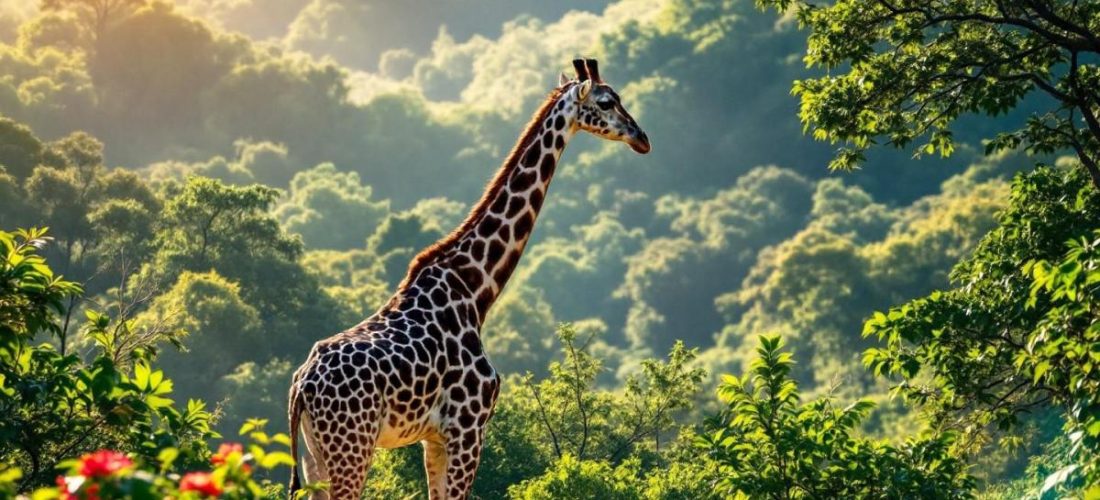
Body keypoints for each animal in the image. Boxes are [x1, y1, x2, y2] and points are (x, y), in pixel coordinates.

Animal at [287, 58, 650, 500]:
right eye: (607, 101)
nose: (642, 138)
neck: (475, 289)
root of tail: (301, 387)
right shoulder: (468, 427)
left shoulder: (434, 439)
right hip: (351, 446)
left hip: (314, 455)